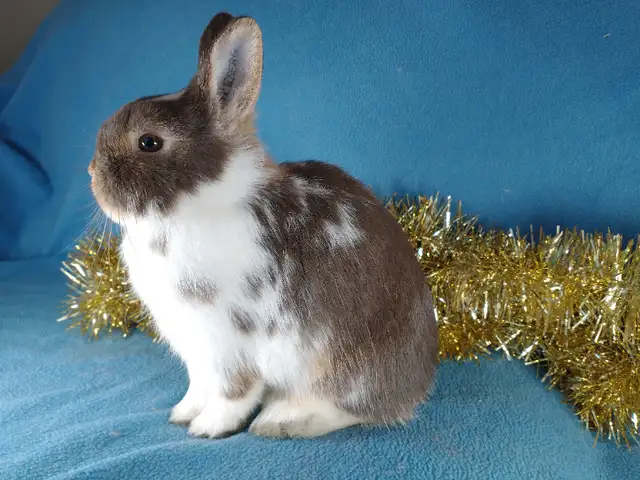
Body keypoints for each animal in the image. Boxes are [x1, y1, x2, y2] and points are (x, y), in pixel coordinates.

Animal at [88, 12, 438, 439]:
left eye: (149, 143)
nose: (92, 176)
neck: (198, 206)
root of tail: (416, 387)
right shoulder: (196, 351)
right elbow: (199, 386)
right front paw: (183, 413)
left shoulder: (226, 342)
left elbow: (233, 391)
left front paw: (208, 428)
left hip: (338, 365)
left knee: (347, 406)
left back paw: (282, 420)